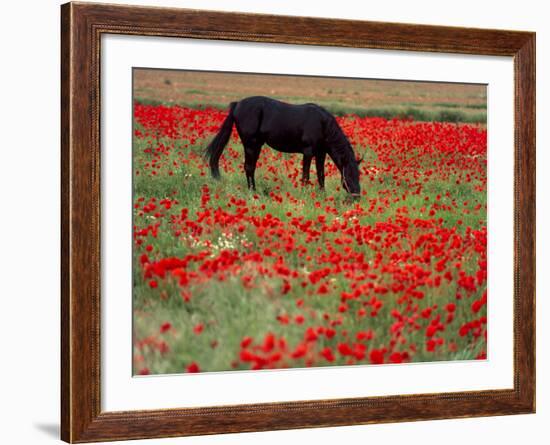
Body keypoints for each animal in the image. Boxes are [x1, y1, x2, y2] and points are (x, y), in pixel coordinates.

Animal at [205, 95, 364, 196]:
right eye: (349, 173)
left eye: (358, 174)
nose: (356, 196)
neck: (322, 124)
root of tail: (237, 104)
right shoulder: (308, 152)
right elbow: (305, 175)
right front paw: (304, 194)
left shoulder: (321, 153)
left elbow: (321, 175)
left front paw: (322, 195)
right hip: (250, 144)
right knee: (249, 167)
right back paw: (252, 192)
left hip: (256, 145)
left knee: (251, 168)